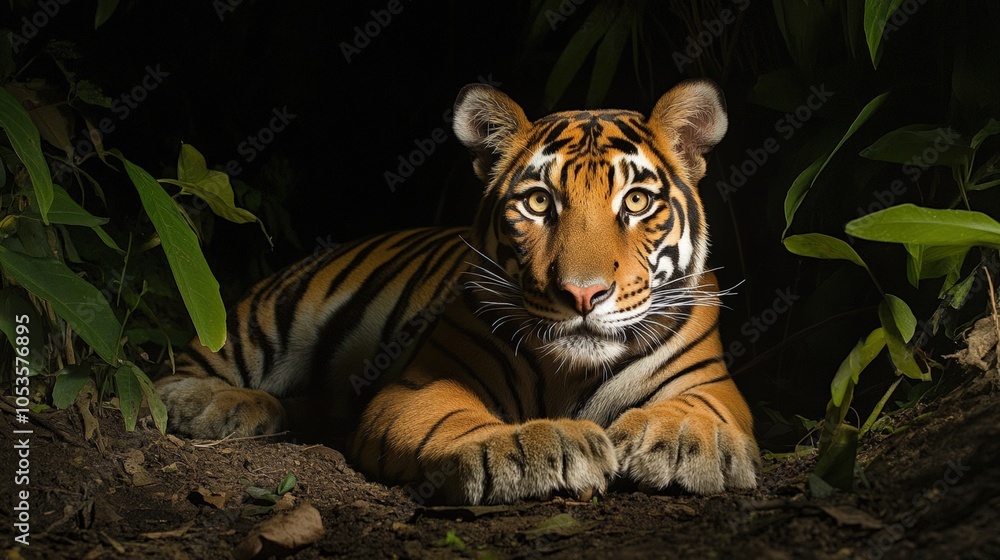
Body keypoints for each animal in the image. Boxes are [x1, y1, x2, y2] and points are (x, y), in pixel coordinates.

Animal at [155, 79, 760, 505]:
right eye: (538, 202)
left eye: (636, 201)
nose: (582, 294)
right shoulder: (421, 386)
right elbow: (457, 421)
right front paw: (533, 446)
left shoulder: (711, 382)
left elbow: (702, 410)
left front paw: (679, 439)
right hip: (267, 316)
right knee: (172, 373)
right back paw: (216, 405)